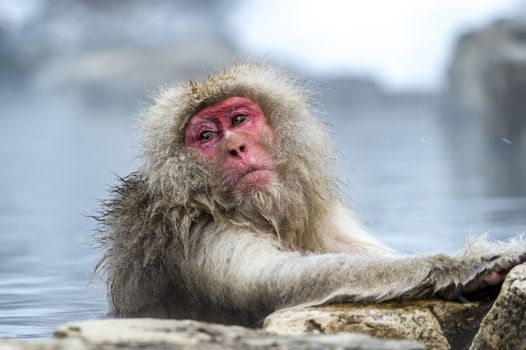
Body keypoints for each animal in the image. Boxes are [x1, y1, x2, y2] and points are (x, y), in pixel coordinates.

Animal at [97, 62, 524, 326]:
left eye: (239, 119)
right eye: (206, 136)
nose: (236, 147)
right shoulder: (201, 237)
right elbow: (283, 283)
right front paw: (464, 266)